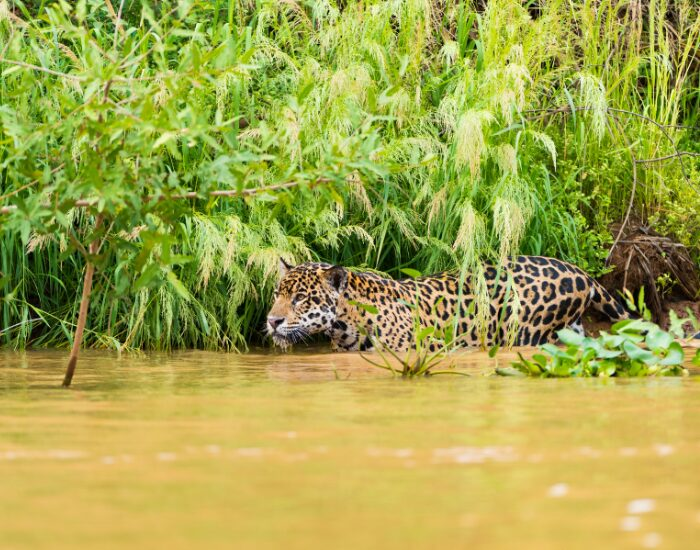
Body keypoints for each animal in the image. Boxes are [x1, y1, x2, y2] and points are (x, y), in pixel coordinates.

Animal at [265, 256, 633, 351]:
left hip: (528, 333)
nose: (272, 321)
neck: (346, 323)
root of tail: (580, 272)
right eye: (277, 294)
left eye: (300, 298)